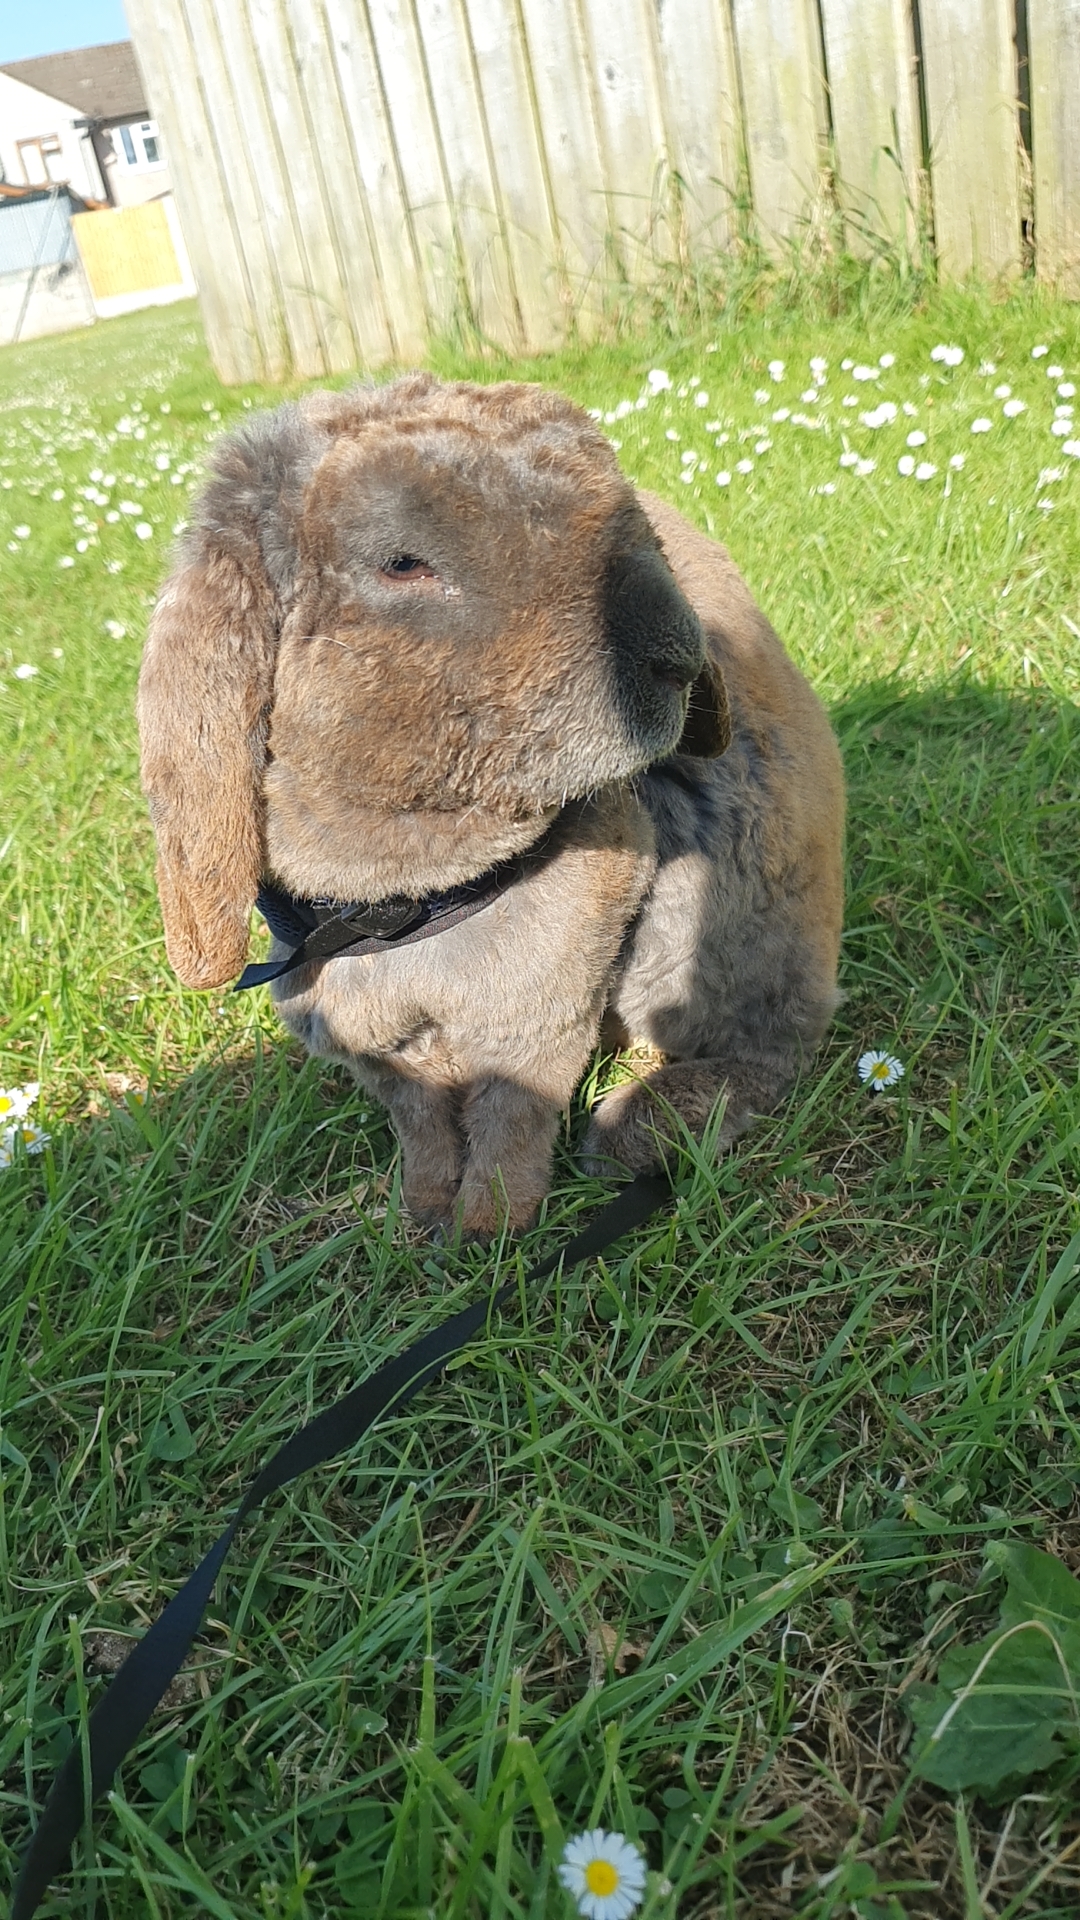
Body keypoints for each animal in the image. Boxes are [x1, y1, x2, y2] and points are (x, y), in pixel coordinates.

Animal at [138, 373, 844, 1239]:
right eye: (401, 563)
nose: (679, 655)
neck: (406, 904)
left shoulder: (537, 1018)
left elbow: (512, 1115)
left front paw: (493, 1224)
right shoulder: (388, 1058)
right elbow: (425, 1124)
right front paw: (421, 1216)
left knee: (772, 1046)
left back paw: (635, 1132)